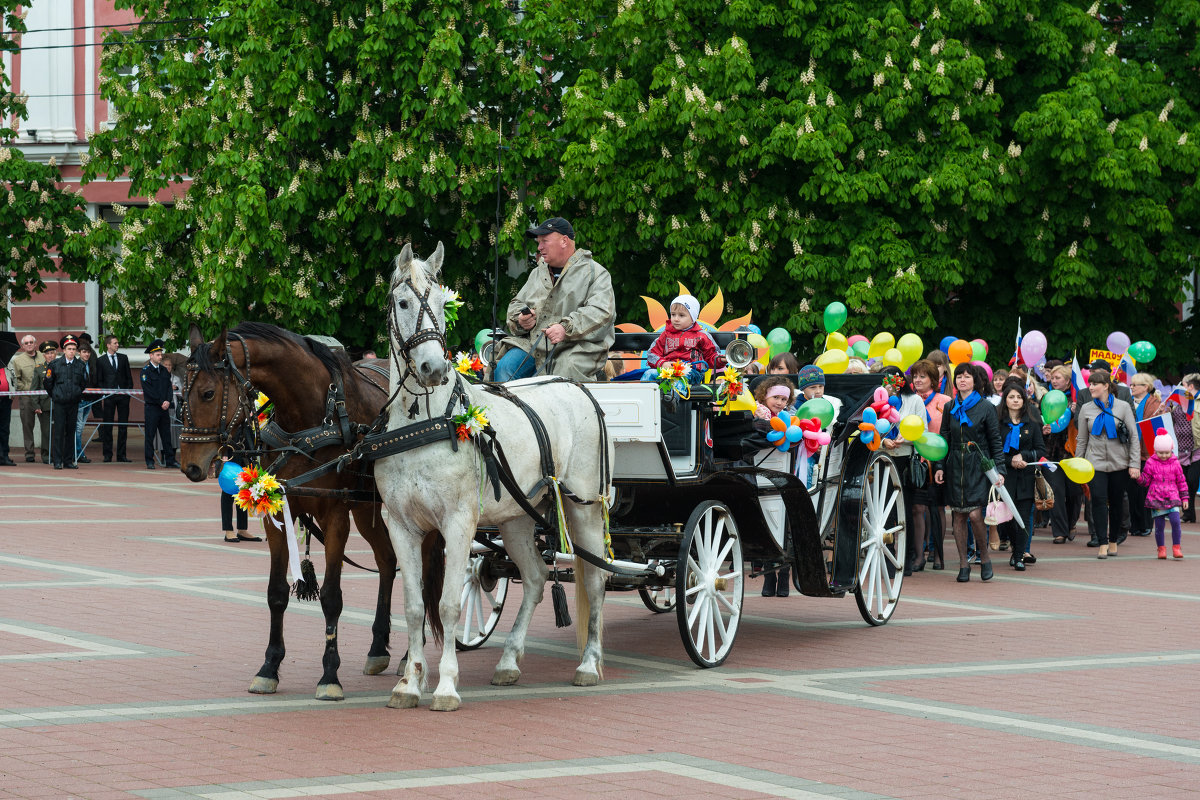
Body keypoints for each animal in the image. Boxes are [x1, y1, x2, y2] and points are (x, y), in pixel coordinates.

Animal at [180, 323, 398, 700]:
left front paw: (330, 676)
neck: (310, 420)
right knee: (388, 561)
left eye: (208, 393)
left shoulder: (335, 515)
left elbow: (331, 597)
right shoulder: (278, 511)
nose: (189, 466)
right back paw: (377, 648)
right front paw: (269, 667)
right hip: (364, 506)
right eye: (182, 395)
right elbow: (276, 593)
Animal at [374, 241, 614, 710]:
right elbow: (413, 607)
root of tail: (580, 389)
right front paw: (408, 684)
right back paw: (508, 661)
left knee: (595, 579)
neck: (421, 423)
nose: (433, 368)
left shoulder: (457, 523)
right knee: (537, 578)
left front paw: (446, 685)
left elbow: (448, 605)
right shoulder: (402, 526)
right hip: (517, 519)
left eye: (442, 304)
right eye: (404, 302)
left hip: (584, 510)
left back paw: (589, 664)